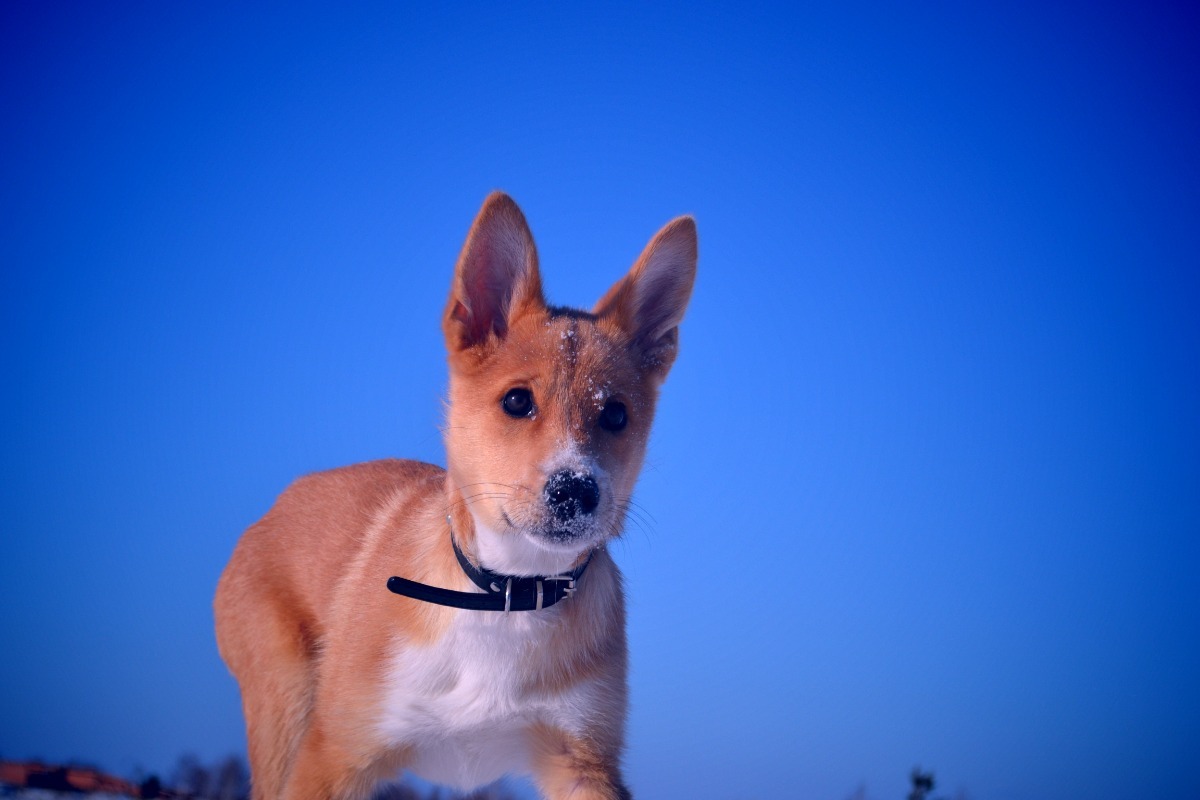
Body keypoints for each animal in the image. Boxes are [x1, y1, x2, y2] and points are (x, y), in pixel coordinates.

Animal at [214, 194, 700, 800]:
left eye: (615, 415)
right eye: (517, 401)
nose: (575, 490)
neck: (506, 596)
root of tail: (277, 504)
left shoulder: (582, 760)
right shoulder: (333, 757)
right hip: (284, 707)